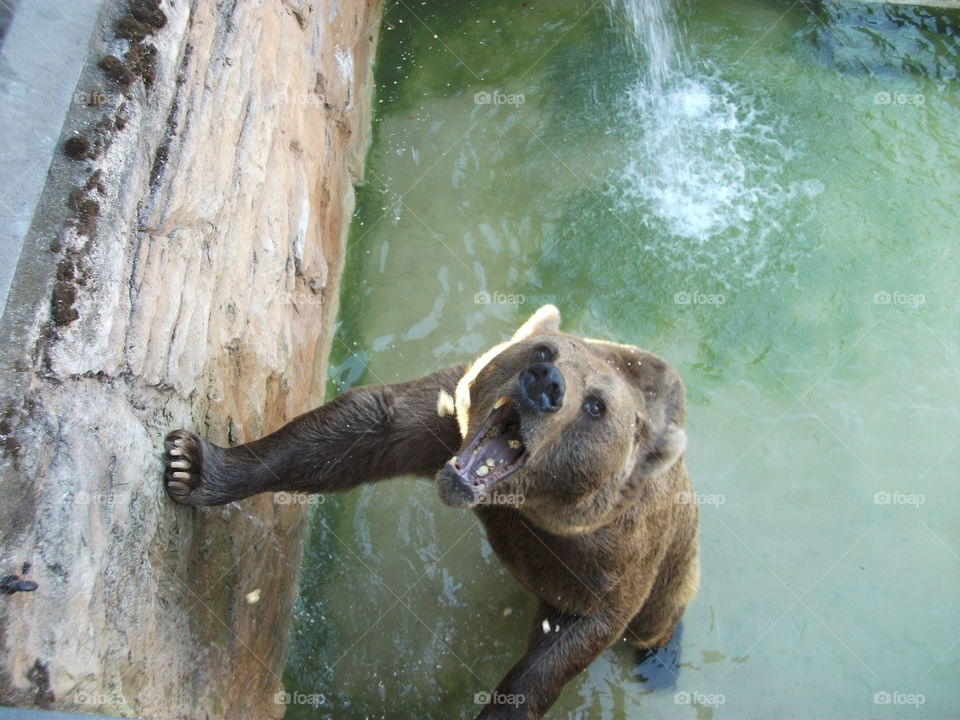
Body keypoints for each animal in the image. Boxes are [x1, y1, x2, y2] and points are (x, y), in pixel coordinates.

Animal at [164, 305, 699, 720]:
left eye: (596, 407)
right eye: (545, 351)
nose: (546, 383)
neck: (521, 504)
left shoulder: (608, 555)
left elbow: (571, 637)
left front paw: (505, 707)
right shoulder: (448, 420)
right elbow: (360, 428)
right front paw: (194, 465)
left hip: (675, 563)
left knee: (657, 616)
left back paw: (661, 659)